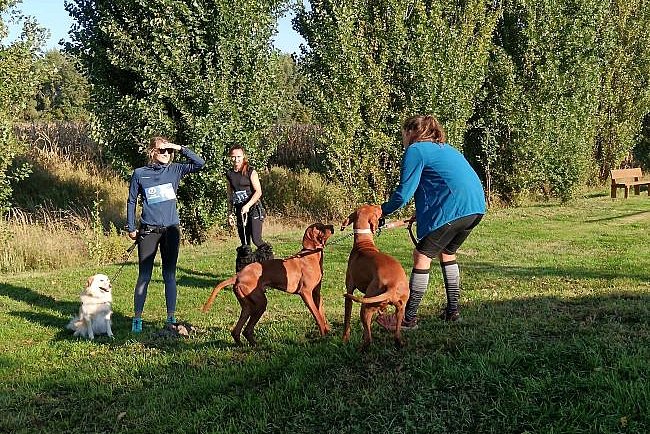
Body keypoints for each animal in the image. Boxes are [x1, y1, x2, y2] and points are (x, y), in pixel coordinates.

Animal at [201, 224, 334, 346]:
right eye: (319, 227)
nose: (332, 226)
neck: (311, 255)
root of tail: (238, 275)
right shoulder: (305, 293)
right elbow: (317, 315)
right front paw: (323, 336)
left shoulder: (316, 293)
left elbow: (321, 313)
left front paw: (327, 332)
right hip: (260, 303)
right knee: (247, 330)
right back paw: (257, 345)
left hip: (247, 306)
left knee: (236, 331)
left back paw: (244, 345)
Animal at [340, 203, 404, 350]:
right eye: (374, 208)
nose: (381, 206)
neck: (364, 244)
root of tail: (392, 285)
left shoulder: (349, 291)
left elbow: (347, 320)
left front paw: (345, 340)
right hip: (400, 309)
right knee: (397, 335)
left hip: (365, 307)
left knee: (368, 339)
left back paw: (360, 349)